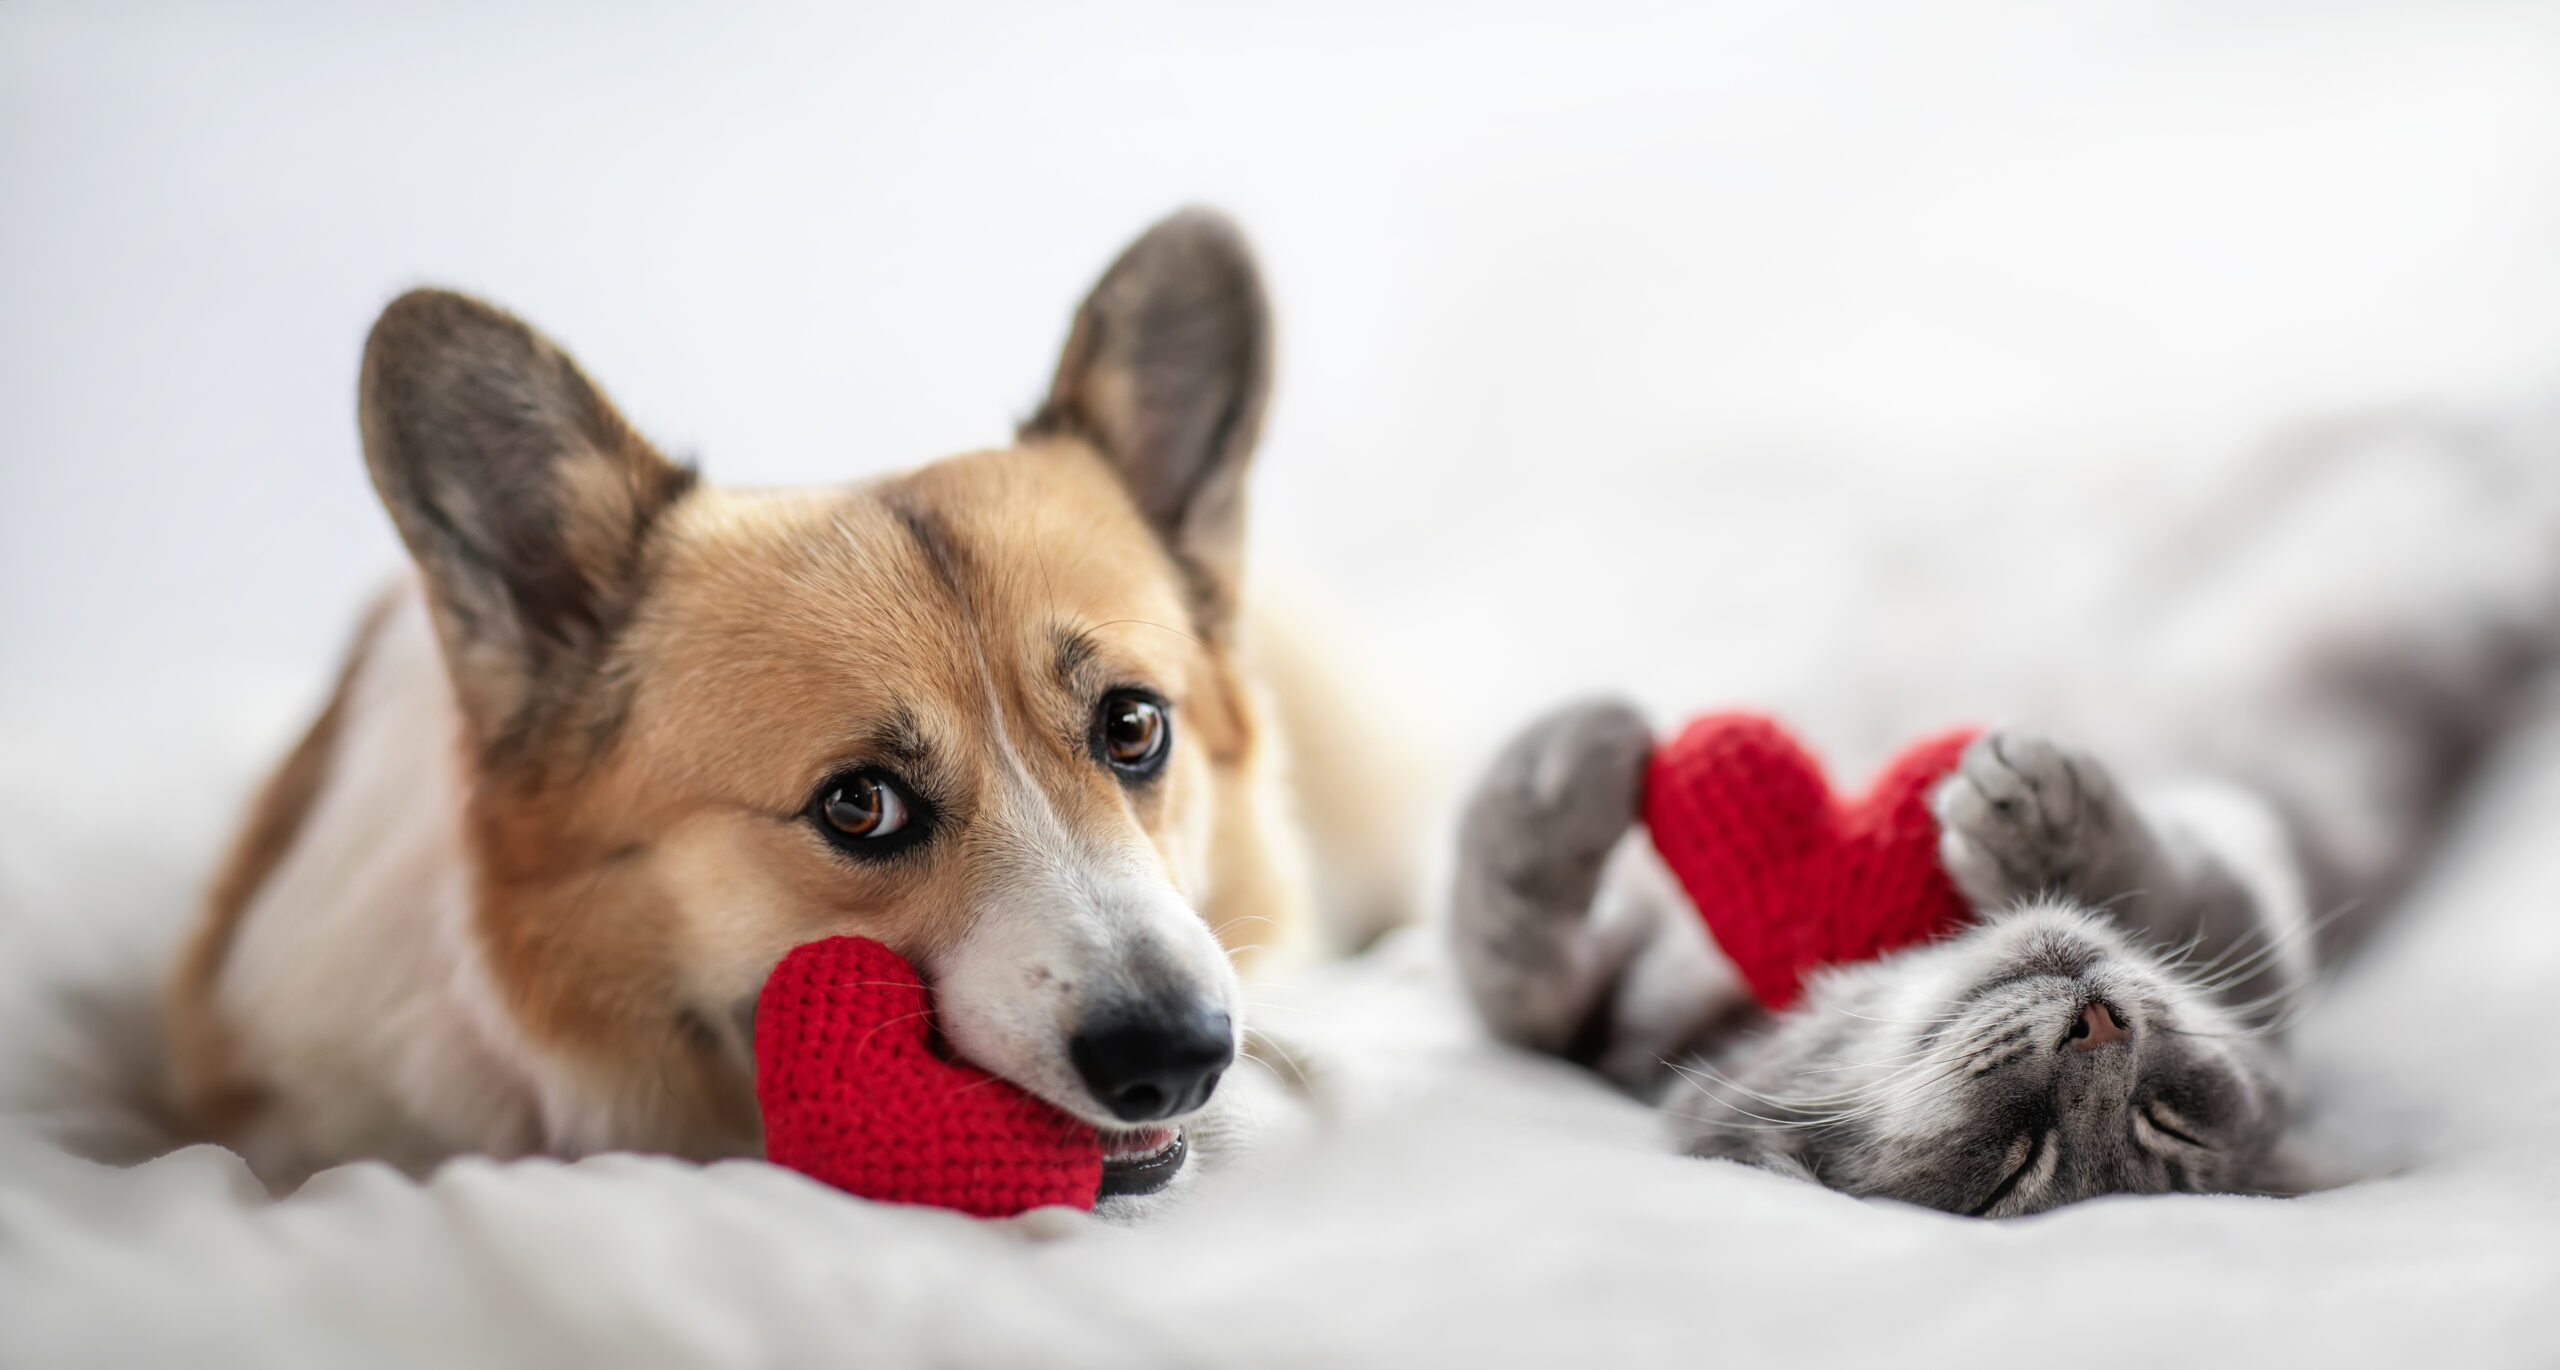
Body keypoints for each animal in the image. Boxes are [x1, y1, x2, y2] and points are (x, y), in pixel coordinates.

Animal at [1454, 412, 2549, 1218]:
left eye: (2162, 1122)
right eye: (2013, 1168)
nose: (2100, 1028)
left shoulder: (2261, 879)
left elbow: (2180, 881)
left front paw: (2045, 816)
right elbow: (1511, 976)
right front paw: (1568, 760)